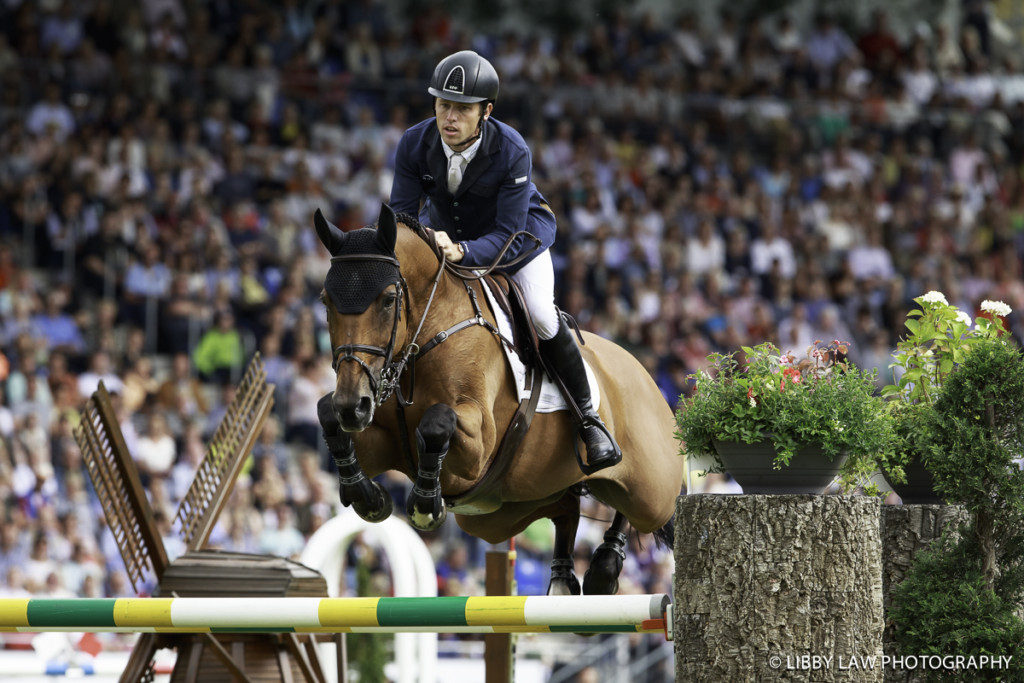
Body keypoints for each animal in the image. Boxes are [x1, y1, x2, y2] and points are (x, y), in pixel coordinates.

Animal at [311, 201, 679, 593]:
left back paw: (604, 565)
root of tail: (645, 373)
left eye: (388, 300)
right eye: (325, 300)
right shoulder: (385, 443)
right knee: (566, 510)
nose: (353, 406)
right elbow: (326, 413)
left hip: (650, 490)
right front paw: (368, 496)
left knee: (650, 510)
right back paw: (565, 577)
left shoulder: (477, 447)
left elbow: (437, 421)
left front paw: (425, 505)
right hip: (512, 506)